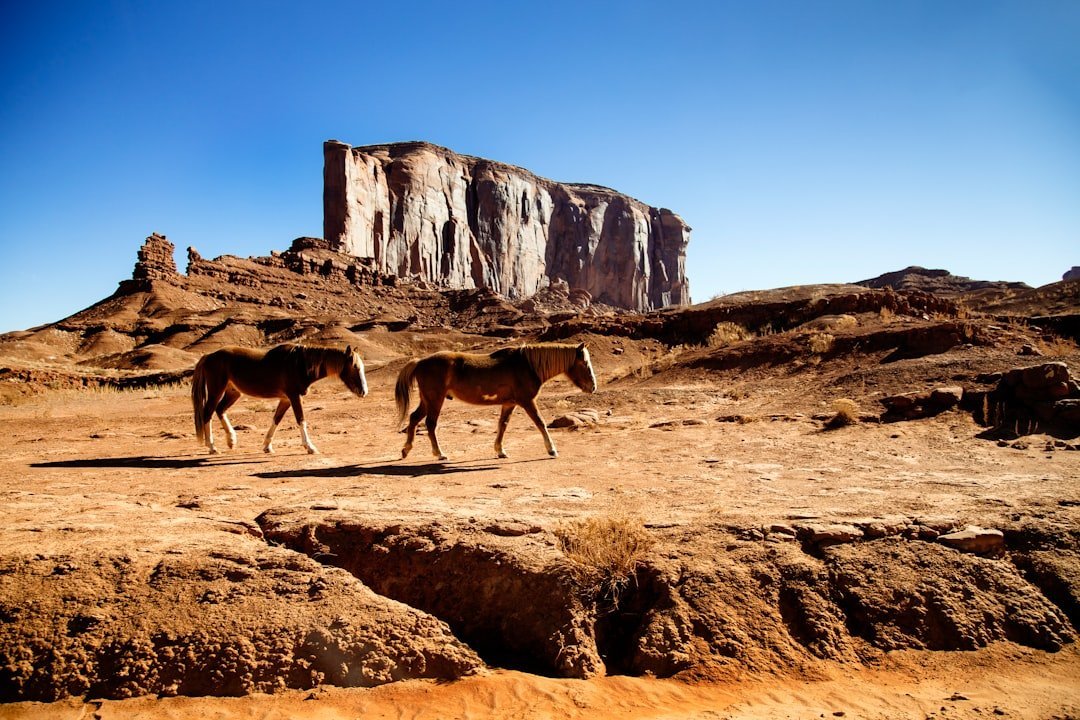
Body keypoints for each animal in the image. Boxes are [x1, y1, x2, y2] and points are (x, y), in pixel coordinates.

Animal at [191, 343, 367, 455]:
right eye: (355, 367)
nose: (364, 392)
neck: (299, 364)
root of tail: (208, 356)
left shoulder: (285, 399)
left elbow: (276, 419)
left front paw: (267, 446)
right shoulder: (294, 396)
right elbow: (301, 420)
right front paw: (310, 447)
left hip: (233, 392)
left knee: (220, 410)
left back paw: (231, 440)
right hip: (216, 390)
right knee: (208, 413)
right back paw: (212, 447)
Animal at [395, 342, 596, 460]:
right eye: (584, 363)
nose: (593, 387)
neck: (528, 365)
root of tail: (420, 362)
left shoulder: (509, 403)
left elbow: (502, 425)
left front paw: (500, 450)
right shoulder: (527, 401)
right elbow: (540, 423)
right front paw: (552, 450)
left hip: (427, 400)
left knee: (414, 418)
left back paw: (406, 450)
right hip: (435, 400)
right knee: (430, 424)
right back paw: (440, 454)